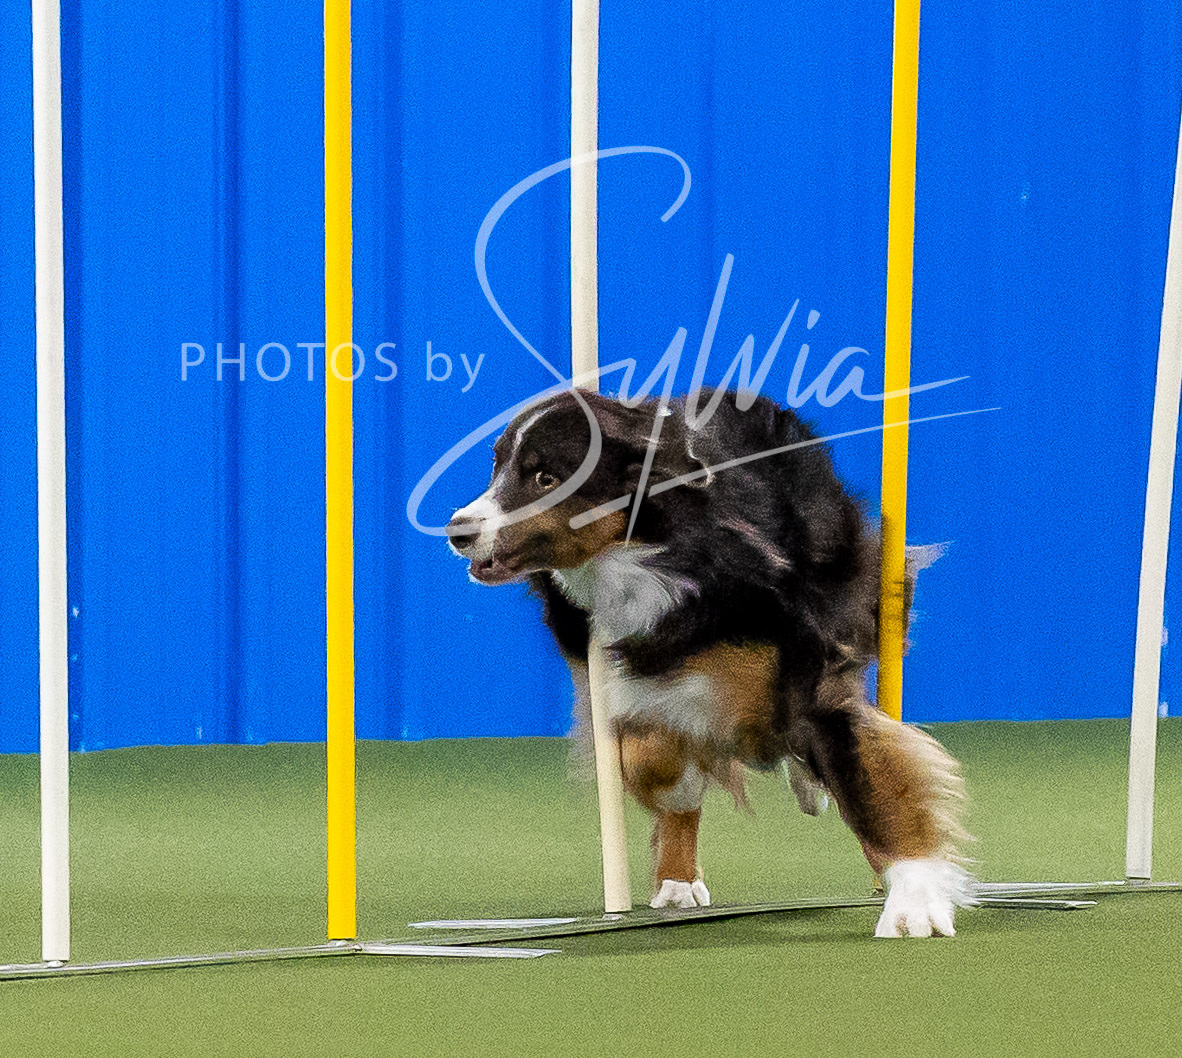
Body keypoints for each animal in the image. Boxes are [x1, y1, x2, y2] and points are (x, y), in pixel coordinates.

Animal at [446, 387, 970, 937]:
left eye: (546, 477)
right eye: (497, 468)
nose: (457, 529)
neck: (639, 557)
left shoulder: (804, 671)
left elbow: (868, 783)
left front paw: (914, 903)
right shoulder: (621, 678)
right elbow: (654, 756)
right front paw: (680, 803)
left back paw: (809, 786)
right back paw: (679, 879)